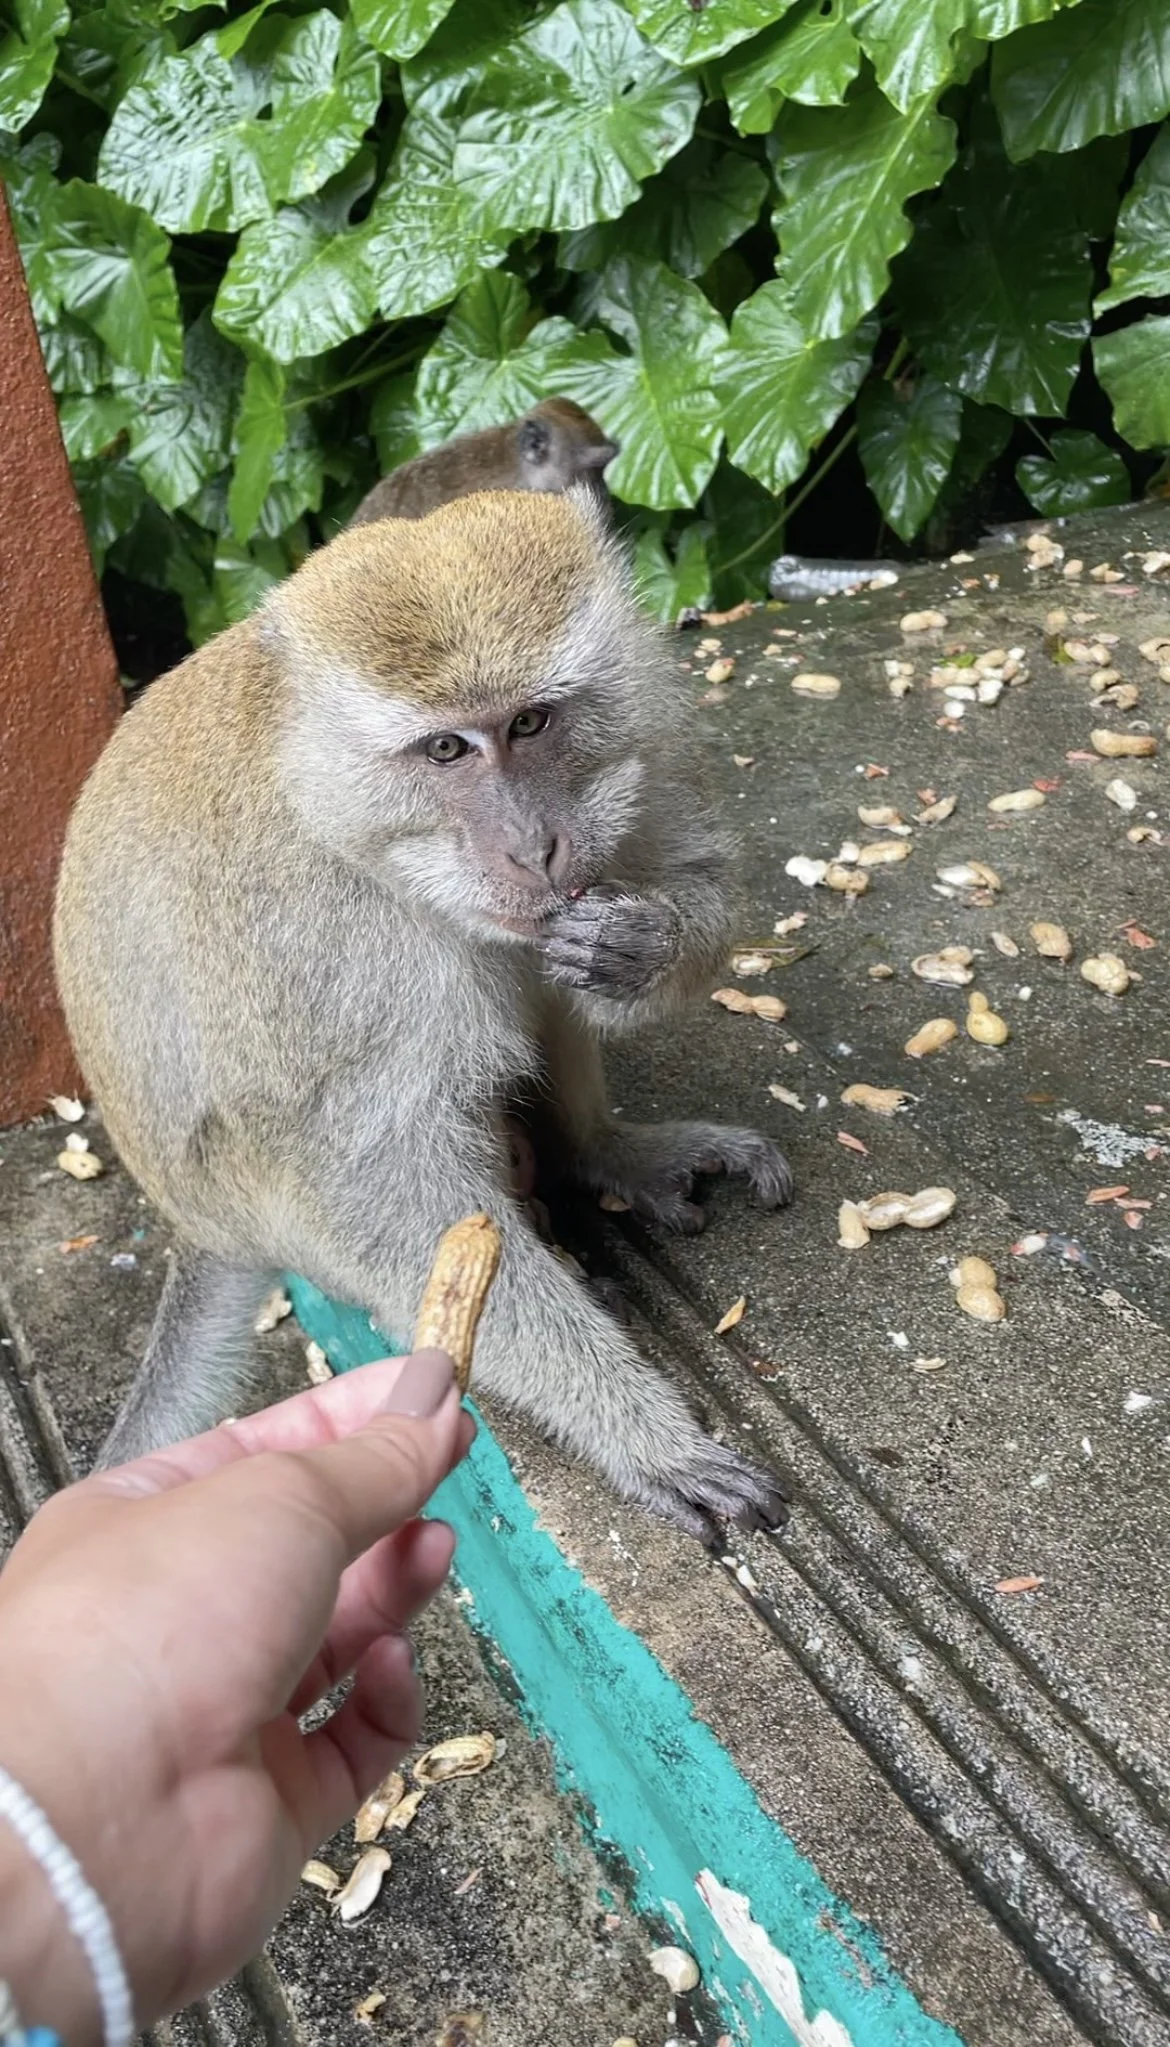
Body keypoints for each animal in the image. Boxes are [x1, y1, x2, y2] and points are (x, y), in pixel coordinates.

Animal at [53, 488, 792, 1537]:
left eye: (531, 722)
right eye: (446, 747)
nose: (534, 846)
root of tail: (196, 1221)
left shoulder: (639, 748)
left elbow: (695, 880)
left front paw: (639, 941)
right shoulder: (316, 940)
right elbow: (376, 1190)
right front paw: (644, 1436)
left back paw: (597, 1149)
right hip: (240, 1183)